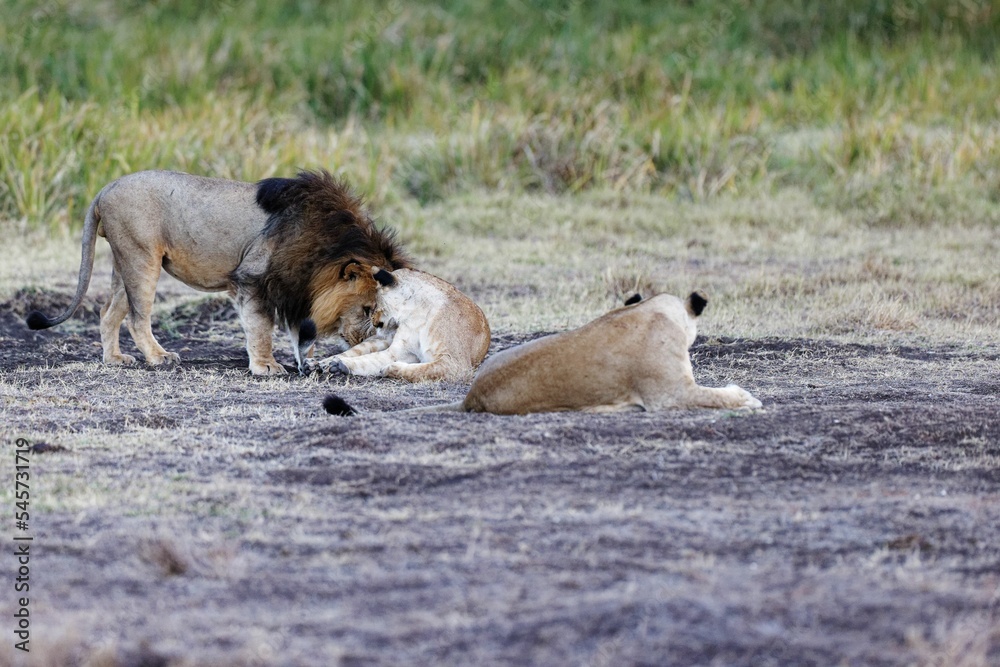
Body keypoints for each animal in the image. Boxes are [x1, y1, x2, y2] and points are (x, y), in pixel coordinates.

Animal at [27, 170, 410, 374]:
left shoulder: (294, 288)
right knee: (137, 318)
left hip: (125, 262)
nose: (368, 340)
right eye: (367, 309)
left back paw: (114, 359)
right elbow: (261, 328)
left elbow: (300, 335)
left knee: (108, 312)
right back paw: (159, 358)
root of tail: (106, 188)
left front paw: (309, 363)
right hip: (141, 258)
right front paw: (266, 367)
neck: (324, 245)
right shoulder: (253, 279)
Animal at [320, 266, 492, 380]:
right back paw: (322, 363)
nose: (373, 322)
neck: (416, 316)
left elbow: (424, 370)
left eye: (375, 303)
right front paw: (338, 365)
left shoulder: (456, 364)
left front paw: (391, 368)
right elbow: (368, 360)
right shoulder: (398, 352)